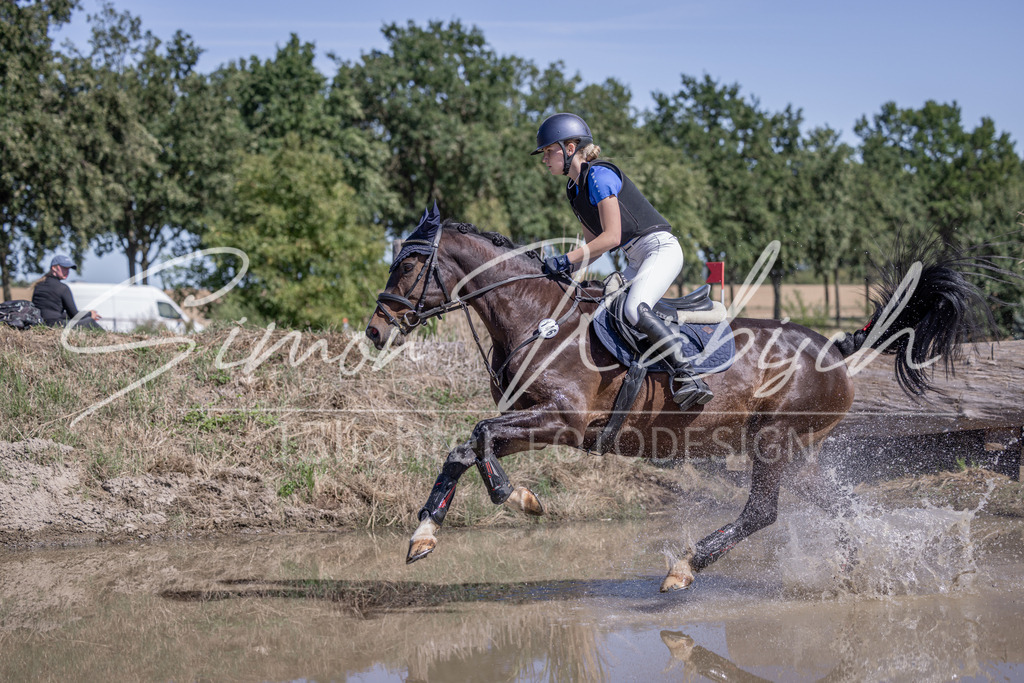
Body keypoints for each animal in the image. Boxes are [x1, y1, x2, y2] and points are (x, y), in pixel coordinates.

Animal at [366, 209, 991, 592]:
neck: (536, 316)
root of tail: (835, 347)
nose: (375, 330)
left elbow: (481, 436)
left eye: (409, 263)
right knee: (839, 506)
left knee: (763, 511)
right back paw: (853, 575)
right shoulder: (540, 421)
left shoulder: (562, 419)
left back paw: (686, 568)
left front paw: (518, 498)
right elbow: (465, 447)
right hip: (799, 450)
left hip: (774, 440)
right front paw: (424, 535)